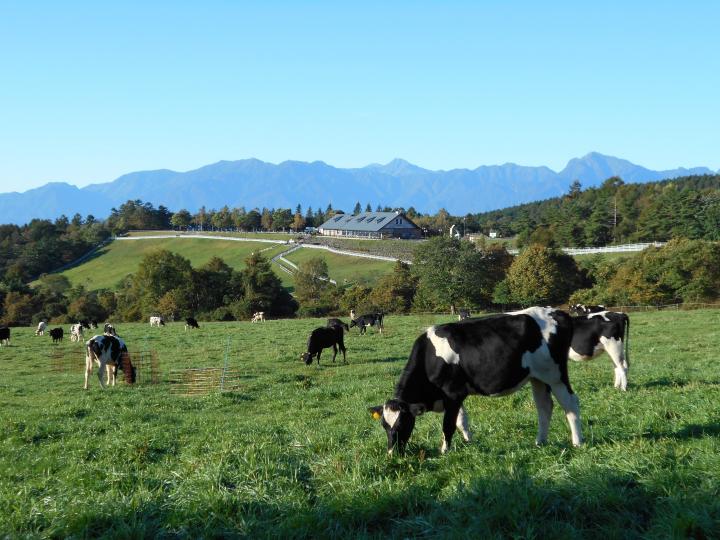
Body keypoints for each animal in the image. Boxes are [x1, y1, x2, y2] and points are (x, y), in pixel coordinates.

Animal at [368, 306, 584, 454]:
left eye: (402, 424)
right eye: (384, 426)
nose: (392, 454)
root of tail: (557, 312)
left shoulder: (453, 393)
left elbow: (448, 424)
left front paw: (444, 451)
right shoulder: (454, 394)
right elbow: (461, 421)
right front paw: (468, 442)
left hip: (555, 374)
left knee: (570, 403)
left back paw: (577, 442)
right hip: (537, 376)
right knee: (544, 406)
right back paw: (540, 442)